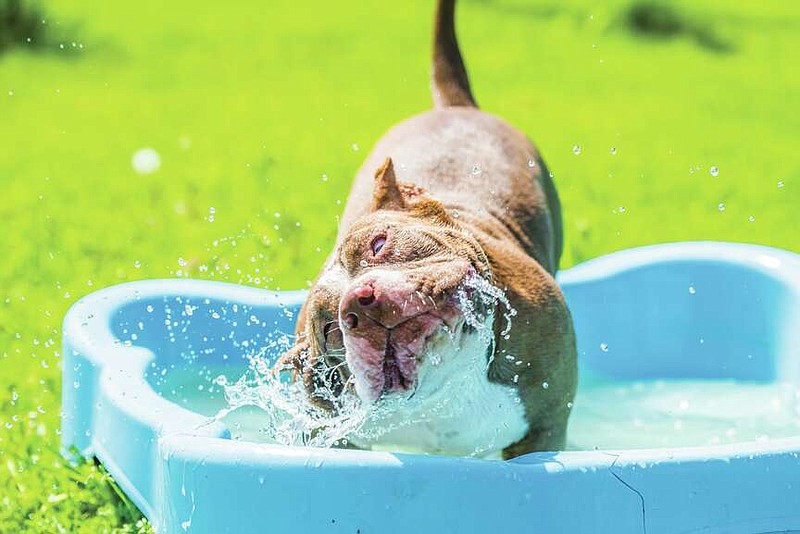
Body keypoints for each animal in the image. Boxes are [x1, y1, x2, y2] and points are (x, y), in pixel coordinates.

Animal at [278, 0, 580, 460]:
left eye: (378, 244)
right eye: (331, 330)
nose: (360, 302)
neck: (451, 383)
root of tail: (453, 107)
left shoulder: (546, 425)